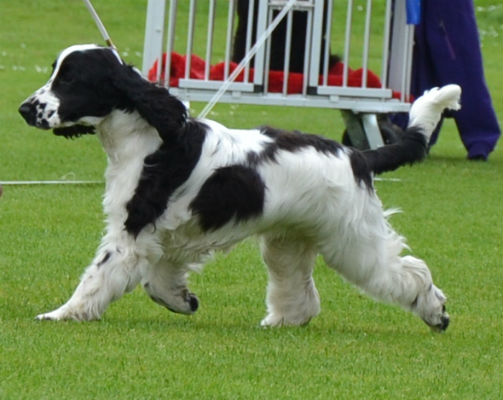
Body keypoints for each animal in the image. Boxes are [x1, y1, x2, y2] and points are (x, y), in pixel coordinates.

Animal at [19, 44, 460, 332]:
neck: (146, 137)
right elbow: (158, 281)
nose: (24, 109)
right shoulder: (167, 236)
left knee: (410, 272)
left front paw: (61, 314)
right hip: (288, 242)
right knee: (301, 294)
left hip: (352, 239)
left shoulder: (132, 231)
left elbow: (98, 278)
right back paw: (280, 322)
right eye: (54, 72)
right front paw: (184, 300)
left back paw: (437, 314)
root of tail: (358, 157)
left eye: (70, 79)